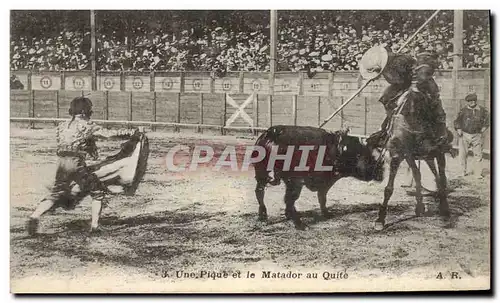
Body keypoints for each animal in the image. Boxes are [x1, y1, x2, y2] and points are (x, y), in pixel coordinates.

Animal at [252, 126, 384, 230]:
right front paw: (326, 214)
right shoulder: (325, 181)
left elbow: (321, 198)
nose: (380, 174)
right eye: (367, 158)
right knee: (289, 199)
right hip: (294, 181)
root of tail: (272, 133)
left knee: (260, 191)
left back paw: (263, 216)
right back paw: (299, 224)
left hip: (261, 172)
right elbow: (322, 197)